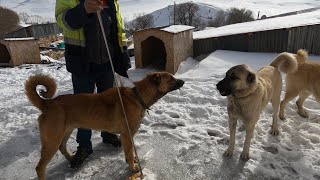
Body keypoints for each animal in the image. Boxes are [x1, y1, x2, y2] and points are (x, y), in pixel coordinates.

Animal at [25, 71, 184, 180]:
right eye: (171, 78)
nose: (183, 81)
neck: (137, 96)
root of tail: (47, 104)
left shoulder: (128, 136)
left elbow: (130, 152)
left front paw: (132, 161)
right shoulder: (127, 134)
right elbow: (129, 152)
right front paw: (133, 168)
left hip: (65, 132)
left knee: (62, 147)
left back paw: (73, 159)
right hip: (52, 140)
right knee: (40, 167)